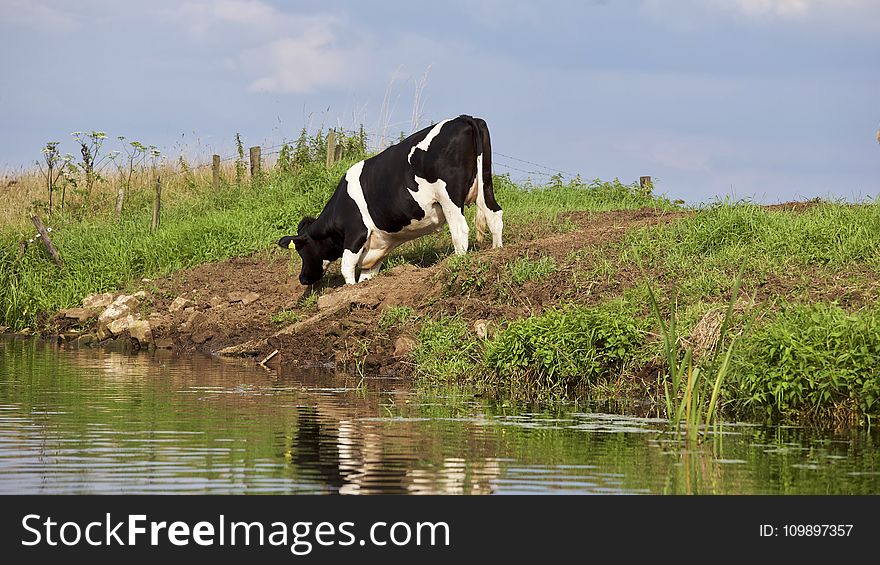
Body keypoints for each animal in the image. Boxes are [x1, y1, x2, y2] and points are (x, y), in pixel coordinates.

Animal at [278, 114, 506, 284]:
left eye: (302, 250)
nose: (303, 278)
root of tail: (463, 118)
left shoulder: (356, 233)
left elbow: (347, 269)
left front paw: (348, 291)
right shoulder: (376, 246)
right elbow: (367, 275)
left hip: (449, 197)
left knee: (460, 230)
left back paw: (458, 261)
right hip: (485, 184)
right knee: (494, 215)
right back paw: (497, 250)